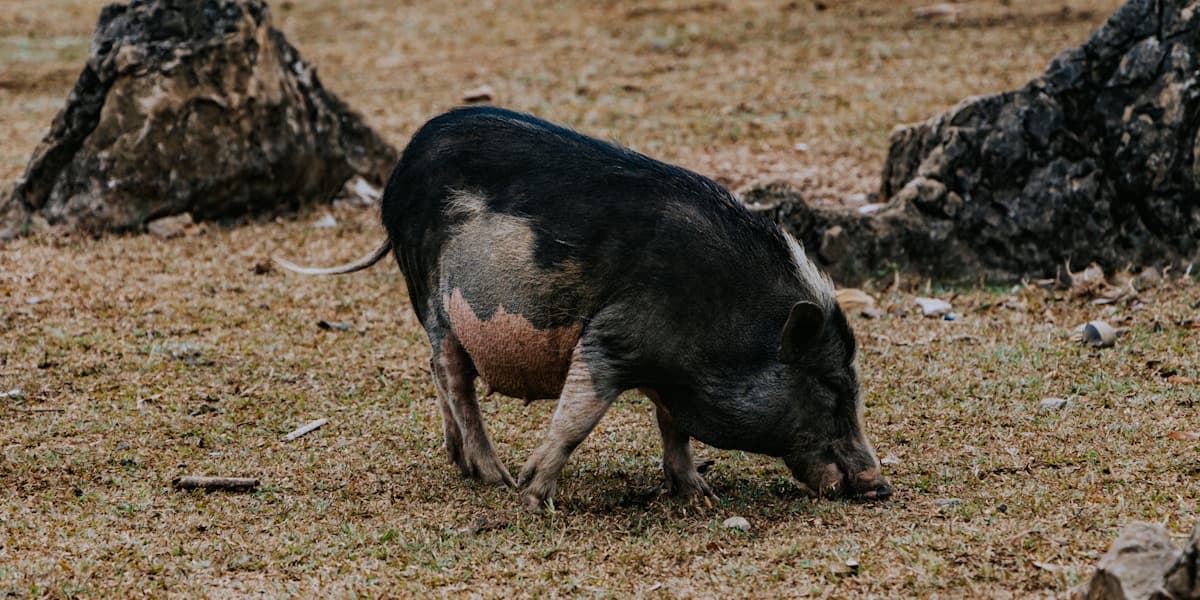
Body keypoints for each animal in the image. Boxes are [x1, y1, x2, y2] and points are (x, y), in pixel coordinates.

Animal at [277, 106, 891, 510]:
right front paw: (533, 498)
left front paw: (702, 497)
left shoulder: (663, 367)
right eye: (832, 387)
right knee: (450, 372)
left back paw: (464, 466)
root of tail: (399, 172)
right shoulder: (611, 339)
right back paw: (496, 477)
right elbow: (577, 419)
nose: (880, 484)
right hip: (432, 292)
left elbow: (673, 428)